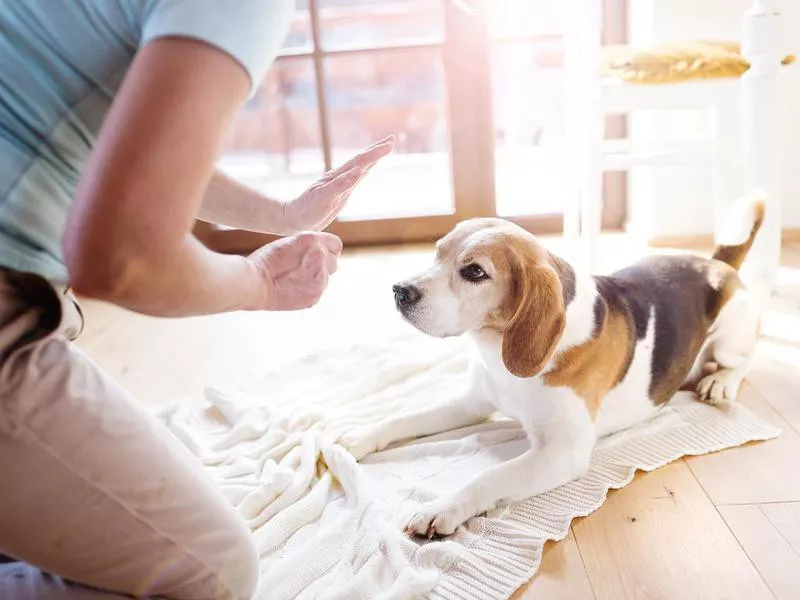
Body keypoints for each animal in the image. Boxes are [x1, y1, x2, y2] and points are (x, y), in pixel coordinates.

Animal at [340, 195, 764, 536]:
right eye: (437, 252)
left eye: (475, 272)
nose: (399, 291)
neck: (498, 354)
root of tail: (715, 264)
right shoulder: (471, 402)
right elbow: (403, 419)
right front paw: (358, 436)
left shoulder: (563, 451)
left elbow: (488, 476)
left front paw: (442, 507)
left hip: (731, 336)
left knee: (740, 362)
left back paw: (721, 382)